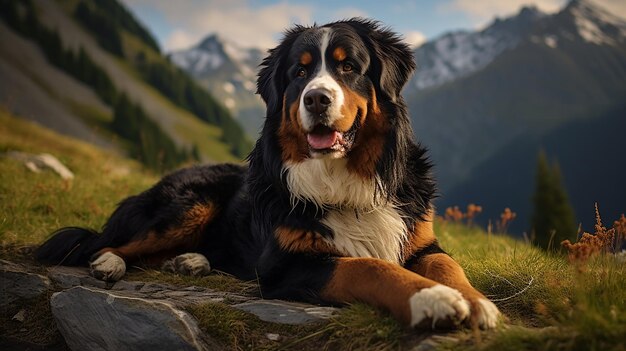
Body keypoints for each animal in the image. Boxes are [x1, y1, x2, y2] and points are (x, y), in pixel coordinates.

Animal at [36, 18, 500, 330]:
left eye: (348, 67)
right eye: (300, 72)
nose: (316, 98)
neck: (342, 179)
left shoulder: (422, 241)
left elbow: (447, 265)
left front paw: (475, 301)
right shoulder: (288, 264)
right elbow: (369, 267)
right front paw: (434, 300)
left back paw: (191, 261)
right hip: (190, 203)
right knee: (108, 242)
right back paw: (108, 263)